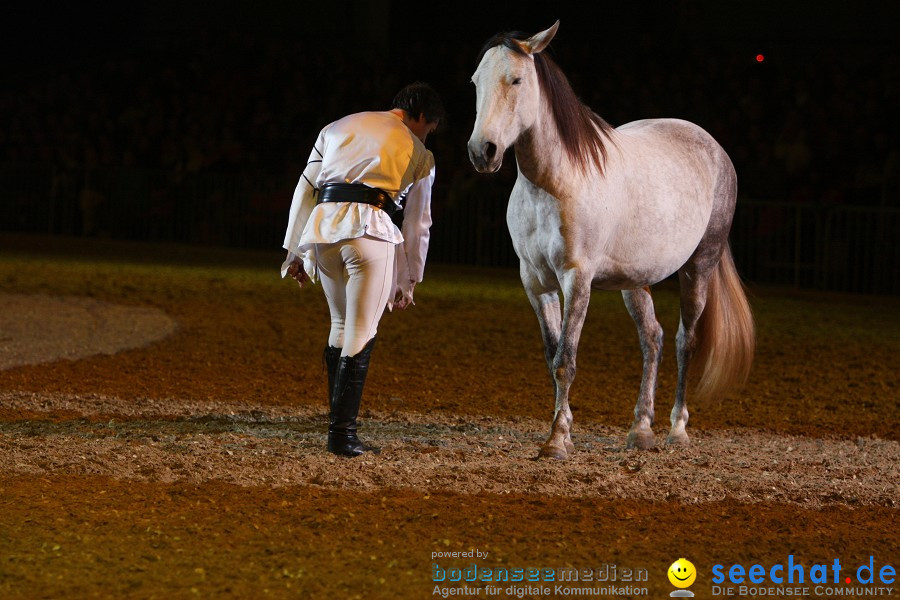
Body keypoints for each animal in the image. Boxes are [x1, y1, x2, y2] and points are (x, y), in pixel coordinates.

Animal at [468, 21, 756, 458]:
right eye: (476, 81)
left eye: (516, 79)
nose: (482, 152)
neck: (554, 183)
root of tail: (715, 149)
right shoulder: (535, 282)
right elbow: (552, 355)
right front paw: (565, 428)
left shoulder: (577, 278)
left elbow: (566, 360)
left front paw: (556, 441)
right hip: (635, 280)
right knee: (652, 339)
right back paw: (640, 429)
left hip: (699, 267)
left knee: (684, 341)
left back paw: (677, 427)